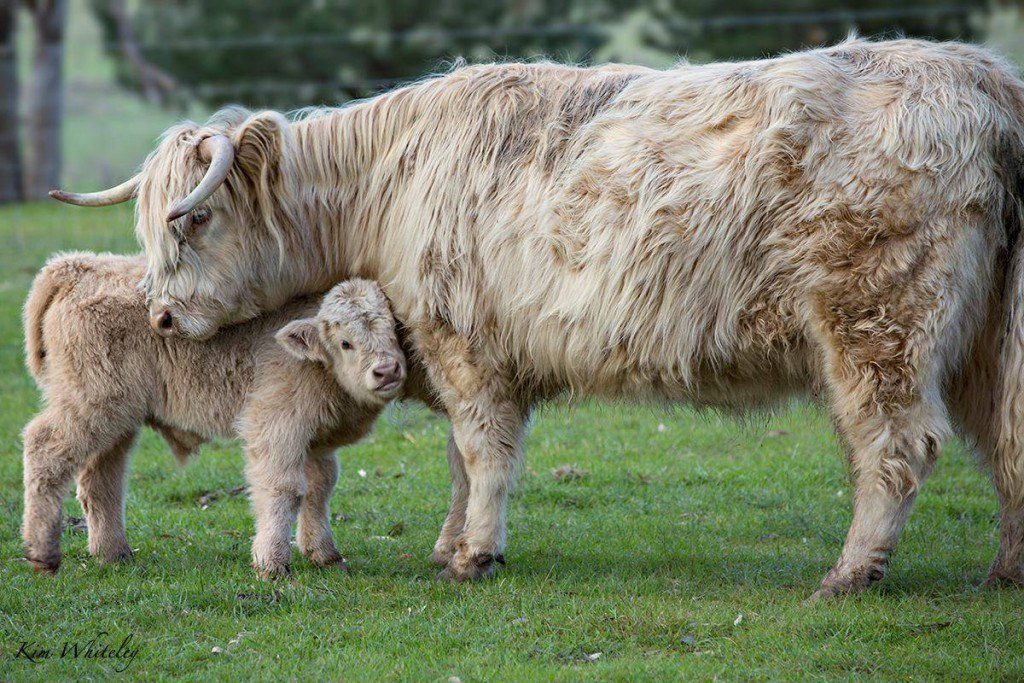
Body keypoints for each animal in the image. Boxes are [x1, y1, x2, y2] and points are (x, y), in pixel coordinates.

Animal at [54, 40, 1024, 598]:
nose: (160, 317)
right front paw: (452, 544)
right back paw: (1004, 568)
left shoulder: (463, 343)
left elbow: (483, 450)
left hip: (877, 325)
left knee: (897, 444)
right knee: (1004, 436)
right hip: (987, 337)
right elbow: (462, 457)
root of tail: (982, 77)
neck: (391, 180)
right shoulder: (462, 355)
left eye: (193, 219)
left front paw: (474, 555)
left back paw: (850, 572)